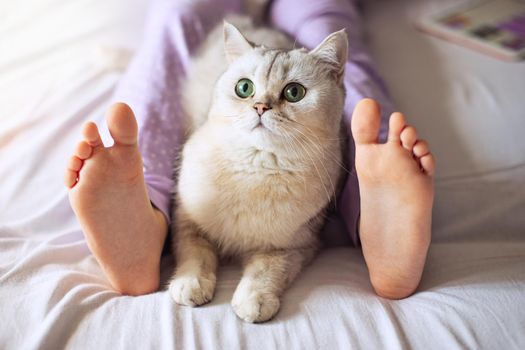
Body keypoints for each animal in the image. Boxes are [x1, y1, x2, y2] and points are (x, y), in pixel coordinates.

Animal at [169, 15, 348, 322]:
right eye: (244, 88)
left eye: (294, 92)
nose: (260, 106)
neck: (256, 167)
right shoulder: (186, 220)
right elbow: (196, 253)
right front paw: (190, 284)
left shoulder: (293, 246)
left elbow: (266, 271)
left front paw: (254, 300)